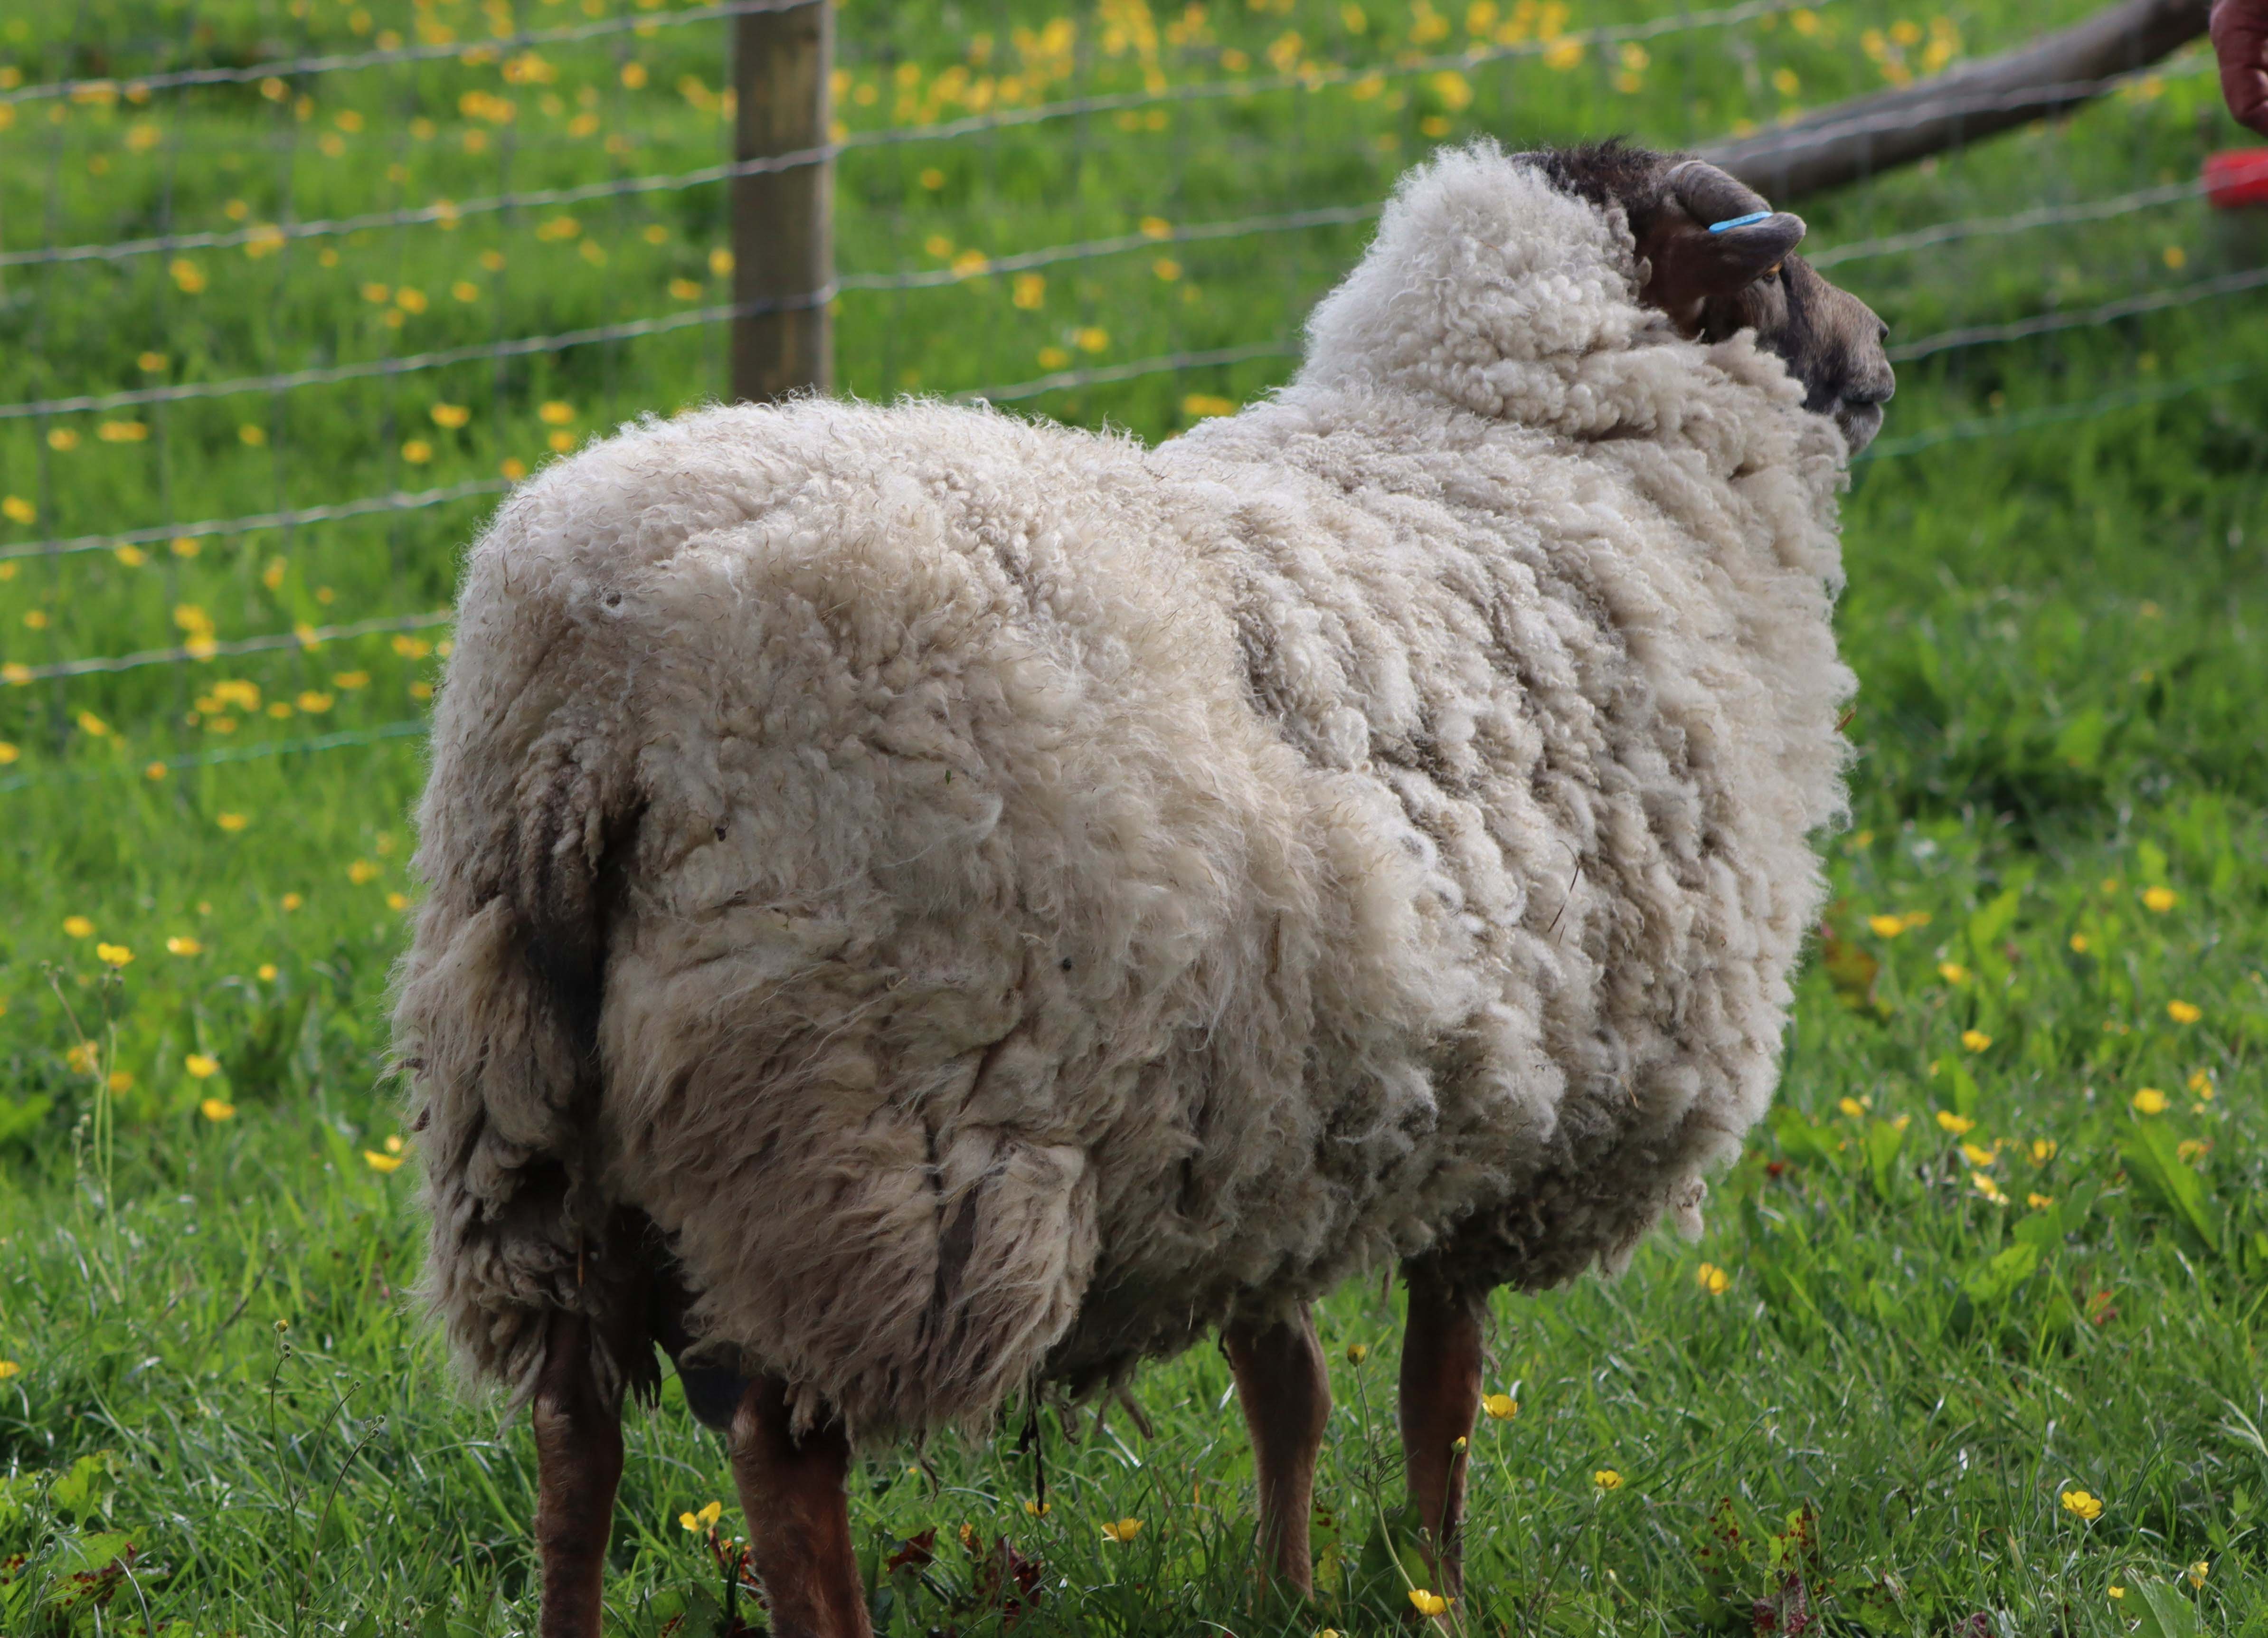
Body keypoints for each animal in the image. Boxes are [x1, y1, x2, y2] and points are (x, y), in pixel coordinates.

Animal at [393, 138, 1893, 1638]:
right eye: (1776, 272)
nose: (1880, 353)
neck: (1528, 449)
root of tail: (591, 693)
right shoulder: (1519, 1125)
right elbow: (1442, 1397)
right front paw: (1439, 1587)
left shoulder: (1271, 1118)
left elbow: (1290, 1387)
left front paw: (1289, 1586)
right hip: (855, 1145)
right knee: (780, 1443)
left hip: (524, 1121)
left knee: (574, 1427)